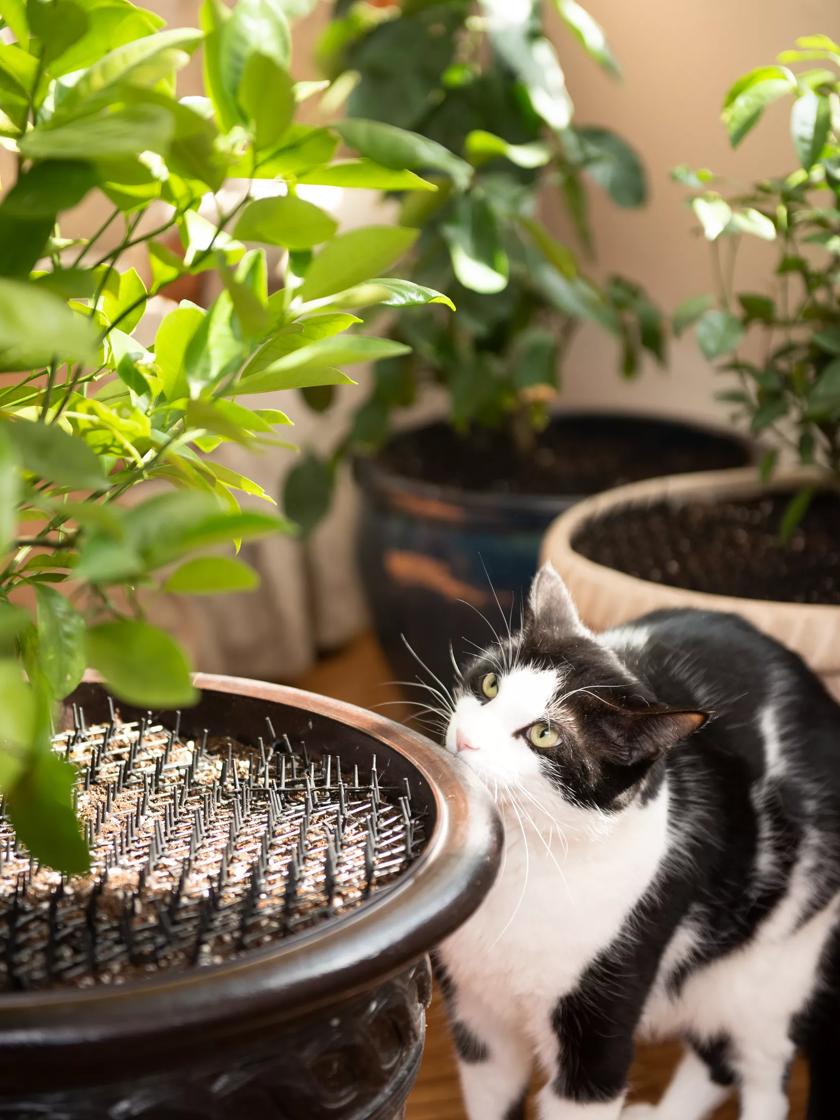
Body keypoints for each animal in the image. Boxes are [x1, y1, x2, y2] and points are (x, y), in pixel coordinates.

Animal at [436, 568, 840, 1120]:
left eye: (543, 734)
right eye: (490, 684)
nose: (468, 740)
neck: (525, 851)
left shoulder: (598, 1027)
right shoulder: (480, 1021)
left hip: (774, 970)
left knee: (761, 1071)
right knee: (715, 1062)